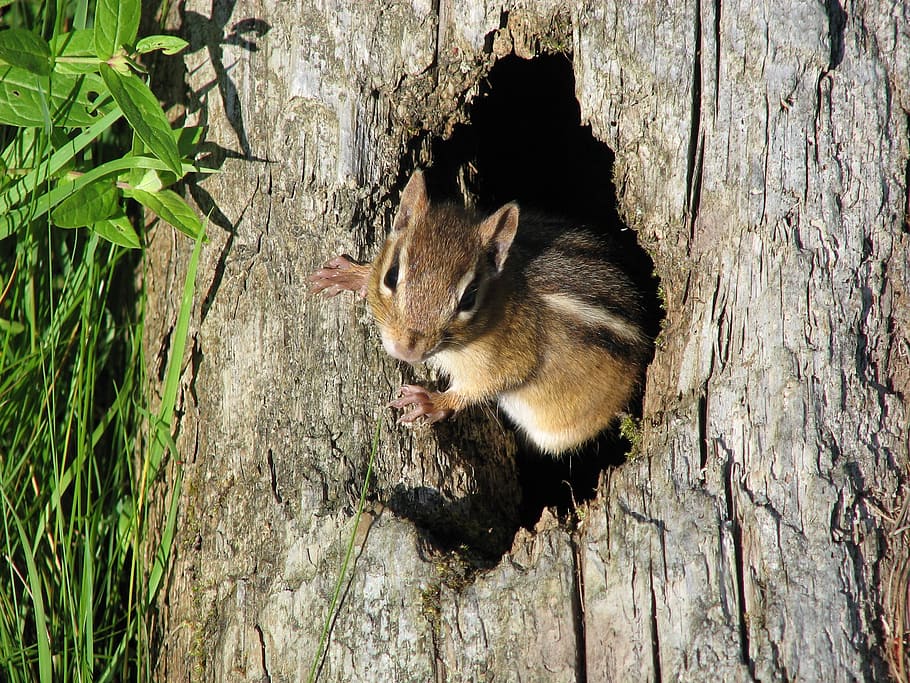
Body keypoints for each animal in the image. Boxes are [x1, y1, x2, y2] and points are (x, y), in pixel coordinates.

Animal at [309, 170, 651, 455]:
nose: (407, 349)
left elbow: (483, 385)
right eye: (391, 275)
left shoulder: (512, 357)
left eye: (469, 298)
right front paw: (352, 274)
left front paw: (432, 401)